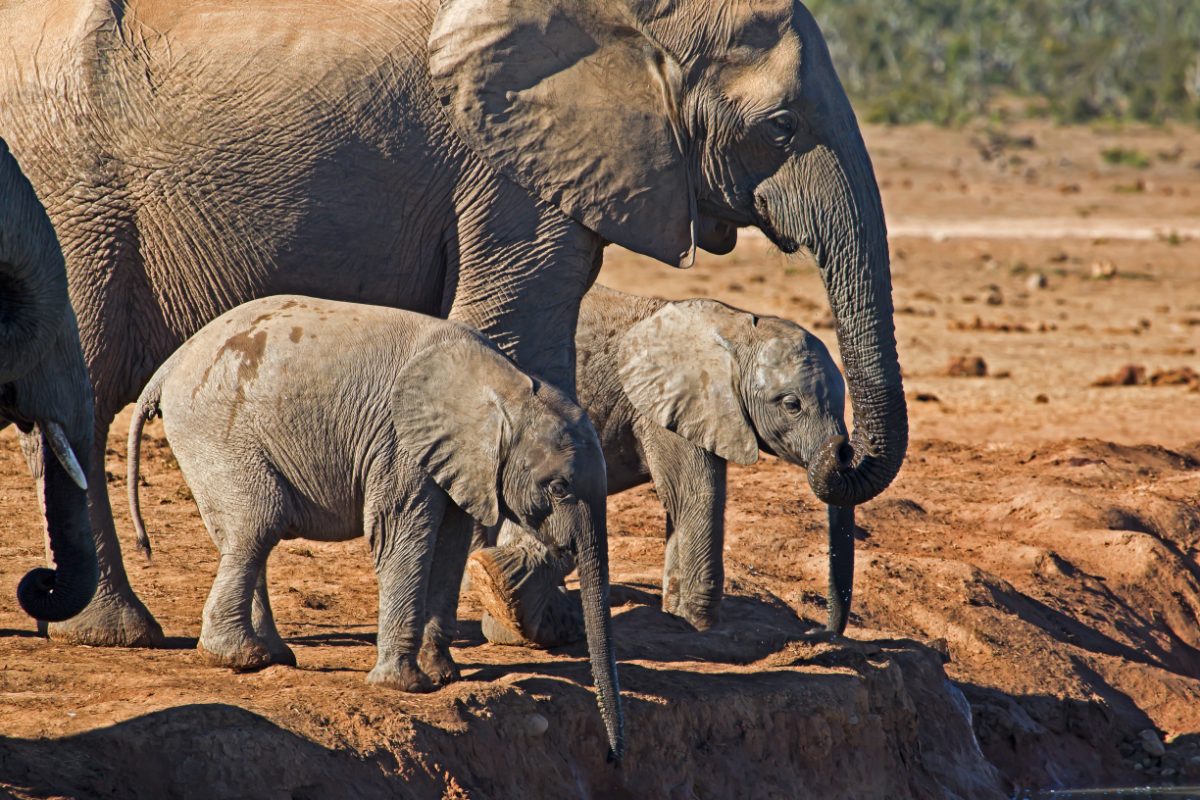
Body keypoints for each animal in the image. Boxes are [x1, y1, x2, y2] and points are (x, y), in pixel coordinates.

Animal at [125, 295, 622, 760]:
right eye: (559, 487)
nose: (613, 755)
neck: (505, 385)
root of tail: (171, 365)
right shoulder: (400, 444)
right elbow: (402, 538)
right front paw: (406, 686)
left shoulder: (458, 460)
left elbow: (450, 544)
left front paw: (444, 676)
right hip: (216, 430)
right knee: (258, 525)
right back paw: (238, 658)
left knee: (248, 536)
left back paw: (271, 656)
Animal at [470, 284, 857, 648]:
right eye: (792, 405)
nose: (820, 631)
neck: (732, 325)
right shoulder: (663, 406)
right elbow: (693, 495)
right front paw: (697, 625)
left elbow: (683, 502)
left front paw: (676, 615)